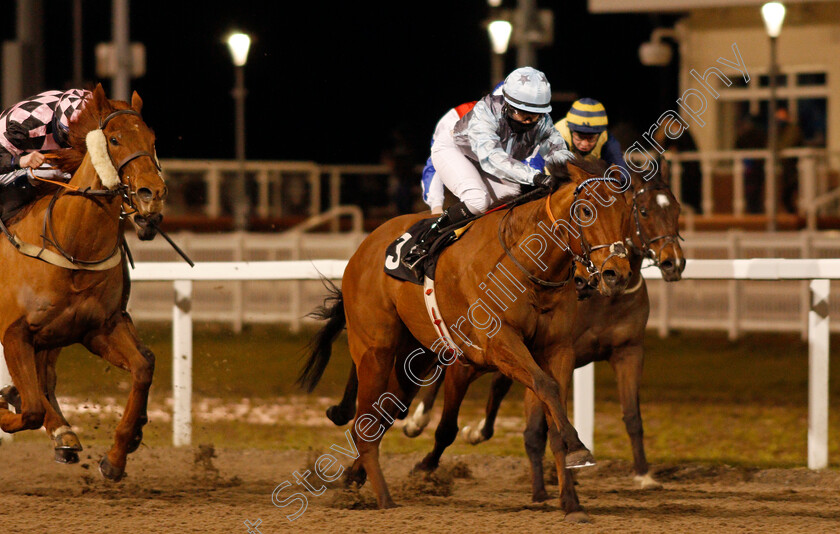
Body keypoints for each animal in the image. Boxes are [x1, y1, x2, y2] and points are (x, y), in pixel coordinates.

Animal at [0, 85, 168, 482]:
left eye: (152, 140)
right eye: (114, 139)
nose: (152, 194)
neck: (71, 245)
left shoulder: (98, 326)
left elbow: (142, 368)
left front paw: (117, 455)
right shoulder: (13, 332)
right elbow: (30, 409)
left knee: (45, 378)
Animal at [300, 159, 632, 524]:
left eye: (627, 210)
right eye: (586, 210)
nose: (617, 273)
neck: (529, 264)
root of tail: (365, 245)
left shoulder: (558, 348)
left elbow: (553, 403)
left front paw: (572, 499)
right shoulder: (498, 344)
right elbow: (544, 386)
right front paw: (579, 449)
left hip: (413, 356)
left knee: (383, 414)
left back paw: (355, 479)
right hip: (376, 350)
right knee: (365, 423)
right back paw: (385, 499)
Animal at [404, 165, 684, 500]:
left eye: (677, 209)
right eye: (643, 211)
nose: (673, 262)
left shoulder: (627, 351)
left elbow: (631, 415)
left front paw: (643, 475)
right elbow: (537, 422)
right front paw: (543, 488)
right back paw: (419, 421)